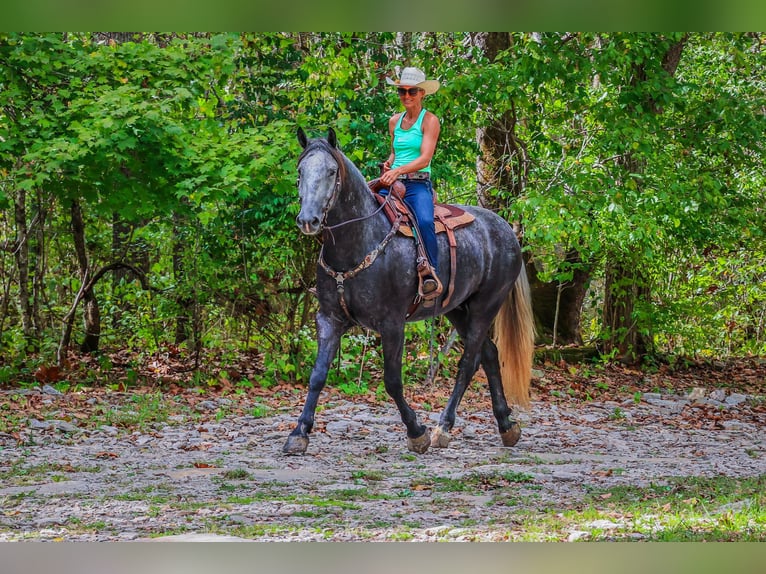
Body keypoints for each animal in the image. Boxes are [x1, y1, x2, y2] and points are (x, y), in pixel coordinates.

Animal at [284, 128, 536, 456]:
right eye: (300, 171)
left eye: (330, 171)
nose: (308, 220)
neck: (360, 240)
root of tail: (506, 229)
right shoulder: (329, 319)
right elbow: (317, 376)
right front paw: (299, 433)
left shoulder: (392, 324)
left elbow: (392, 381)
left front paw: (417, 432)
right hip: (457, 309)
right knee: (490, 355)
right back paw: (506, 425)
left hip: (486, 306)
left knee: (469, 363)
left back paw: (444, 427)